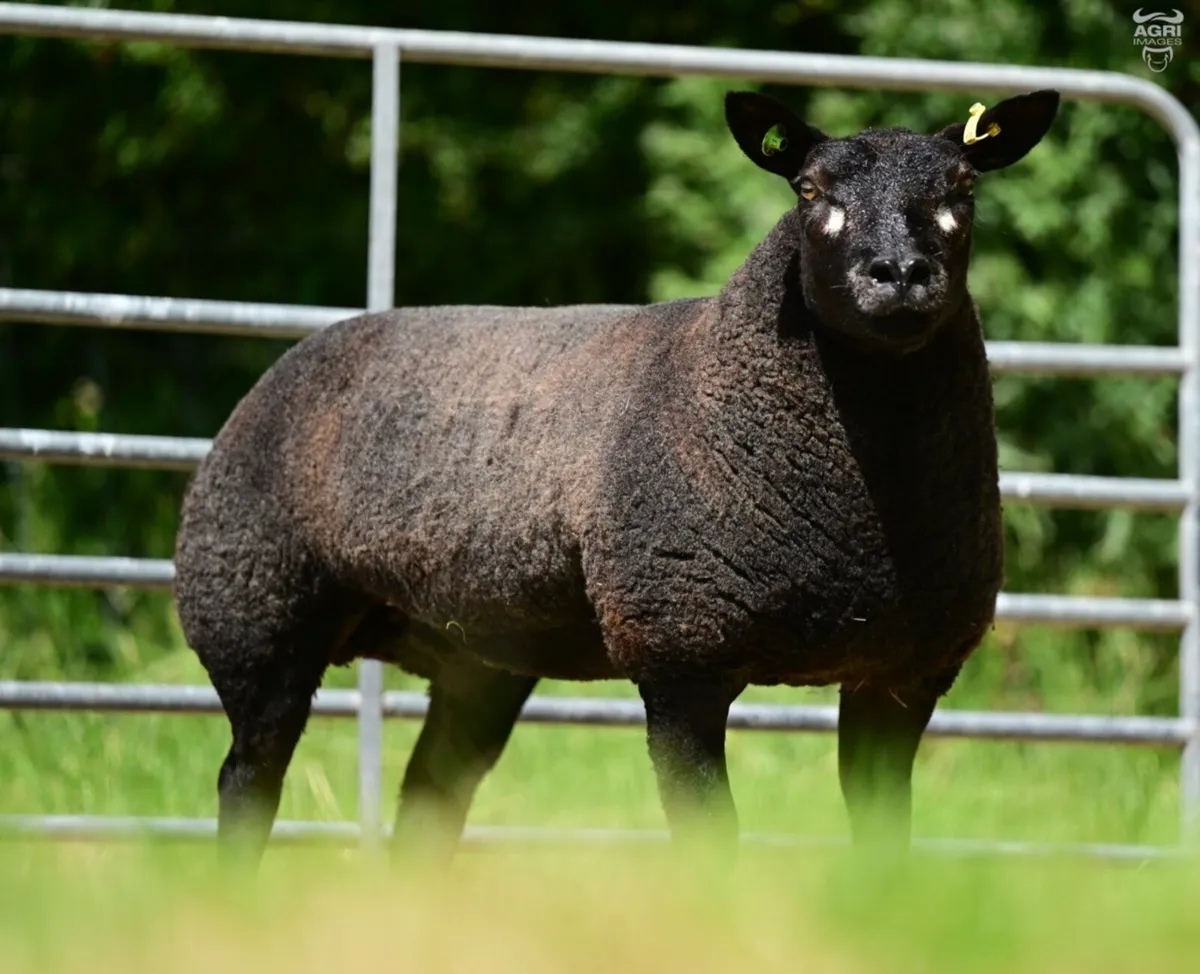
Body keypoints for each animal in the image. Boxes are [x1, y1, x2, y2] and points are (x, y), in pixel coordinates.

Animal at [174, 88, 1060, 865]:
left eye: (963, 188)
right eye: (810, 190)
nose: (899, 272)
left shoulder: (902, 678)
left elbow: (885, 847)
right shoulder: (680, 654)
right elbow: (710, 845)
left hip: (477, 658)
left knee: (428, 802)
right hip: (256, 616)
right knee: (247, 785)